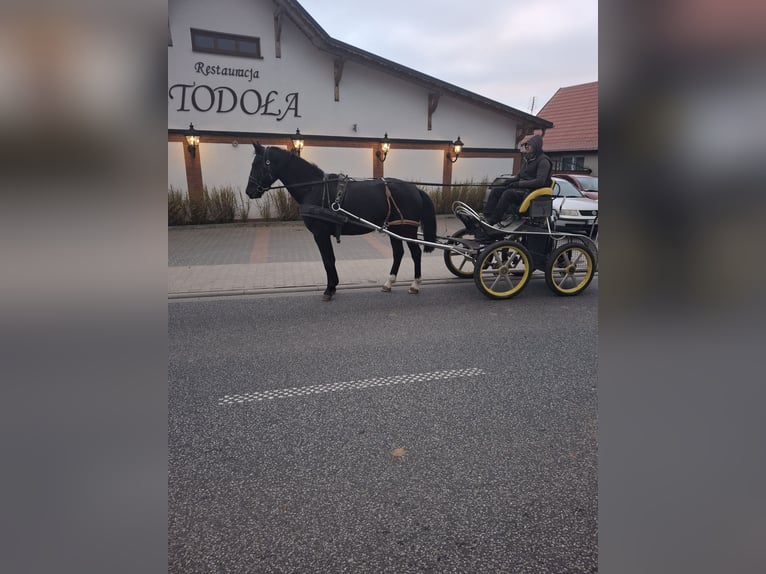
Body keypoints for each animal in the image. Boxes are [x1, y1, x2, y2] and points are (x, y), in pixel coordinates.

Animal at [246, 145, 438, 302]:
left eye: (257, 165)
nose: (249, 191)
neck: (313, 188)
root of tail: (415, 189)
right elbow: (330, 259)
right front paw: (333, 287)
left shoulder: (320, 233)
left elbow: (328, 260)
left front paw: (329, 289)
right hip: (394, 228)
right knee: (398, 253)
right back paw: (389, 283)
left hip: (407, 229)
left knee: (416, 253)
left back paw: (415, 285)